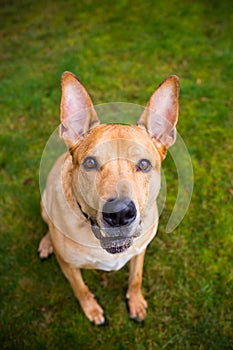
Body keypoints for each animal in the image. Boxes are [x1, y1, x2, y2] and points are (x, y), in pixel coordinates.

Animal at [38, 71, 180, 326]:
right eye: (90, 163)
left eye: (144, 164)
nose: (120, 213)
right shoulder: (69, 266)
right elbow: (81, 289)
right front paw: (92, 310)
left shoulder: (140, 250)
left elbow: (136, 277)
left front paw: (136, 302)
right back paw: (47, 243)